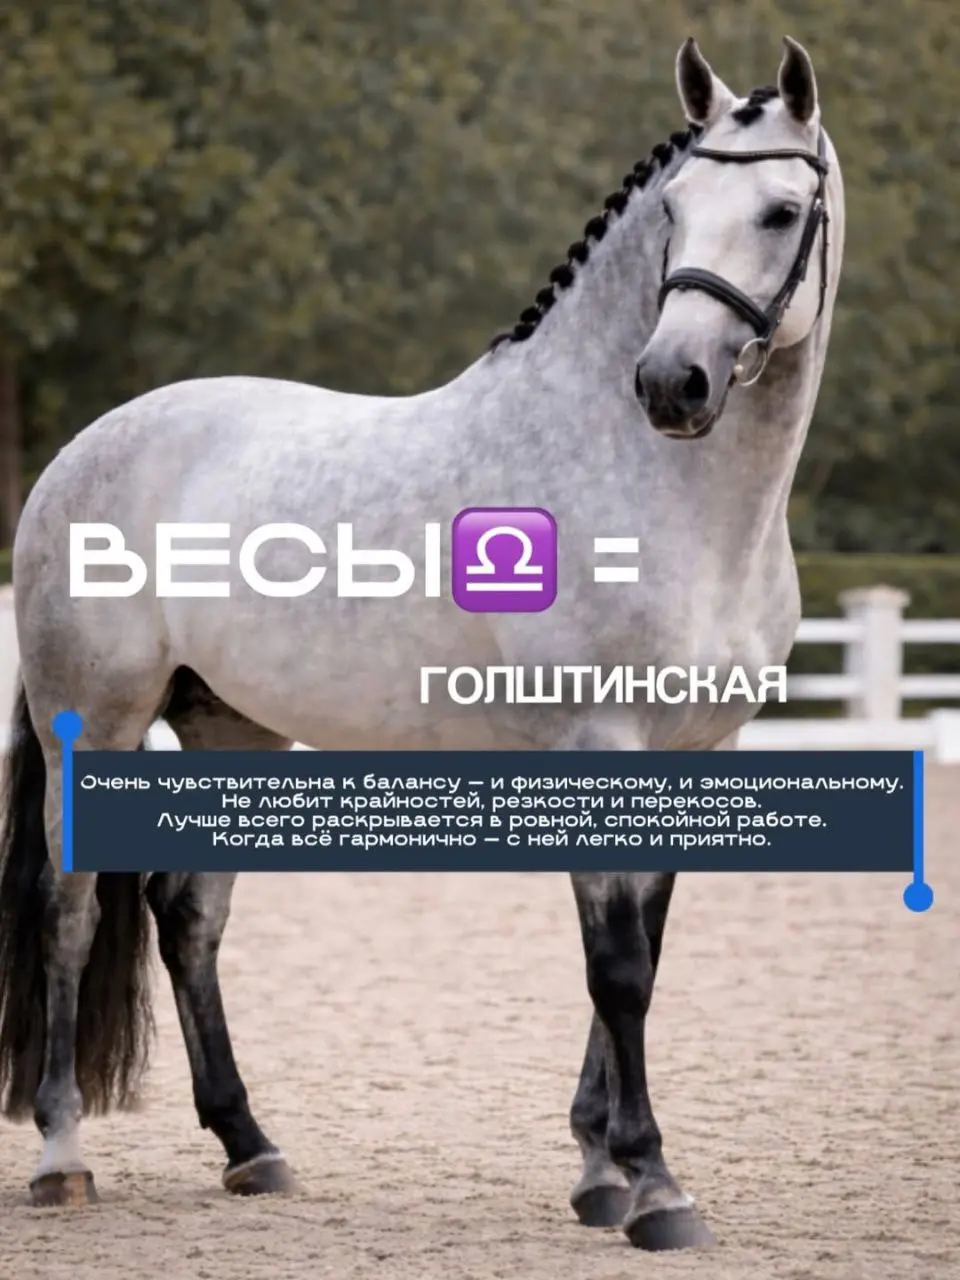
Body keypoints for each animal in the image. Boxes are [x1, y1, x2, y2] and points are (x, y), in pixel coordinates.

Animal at [0, 36, 844, 1250]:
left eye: (781, 211)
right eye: (675, 210)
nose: (671, 383)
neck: (664, 494)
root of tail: (83, 450)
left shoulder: (698, 753)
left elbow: (643, 954)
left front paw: (600, 1169)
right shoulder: (598, 741)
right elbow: (618, 967)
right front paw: (653, 1187)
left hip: (231, 730)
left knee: (188, 915)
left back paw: (250, 1146)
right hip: (94, 720)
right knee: (69, 912)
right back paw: (64, 1156)